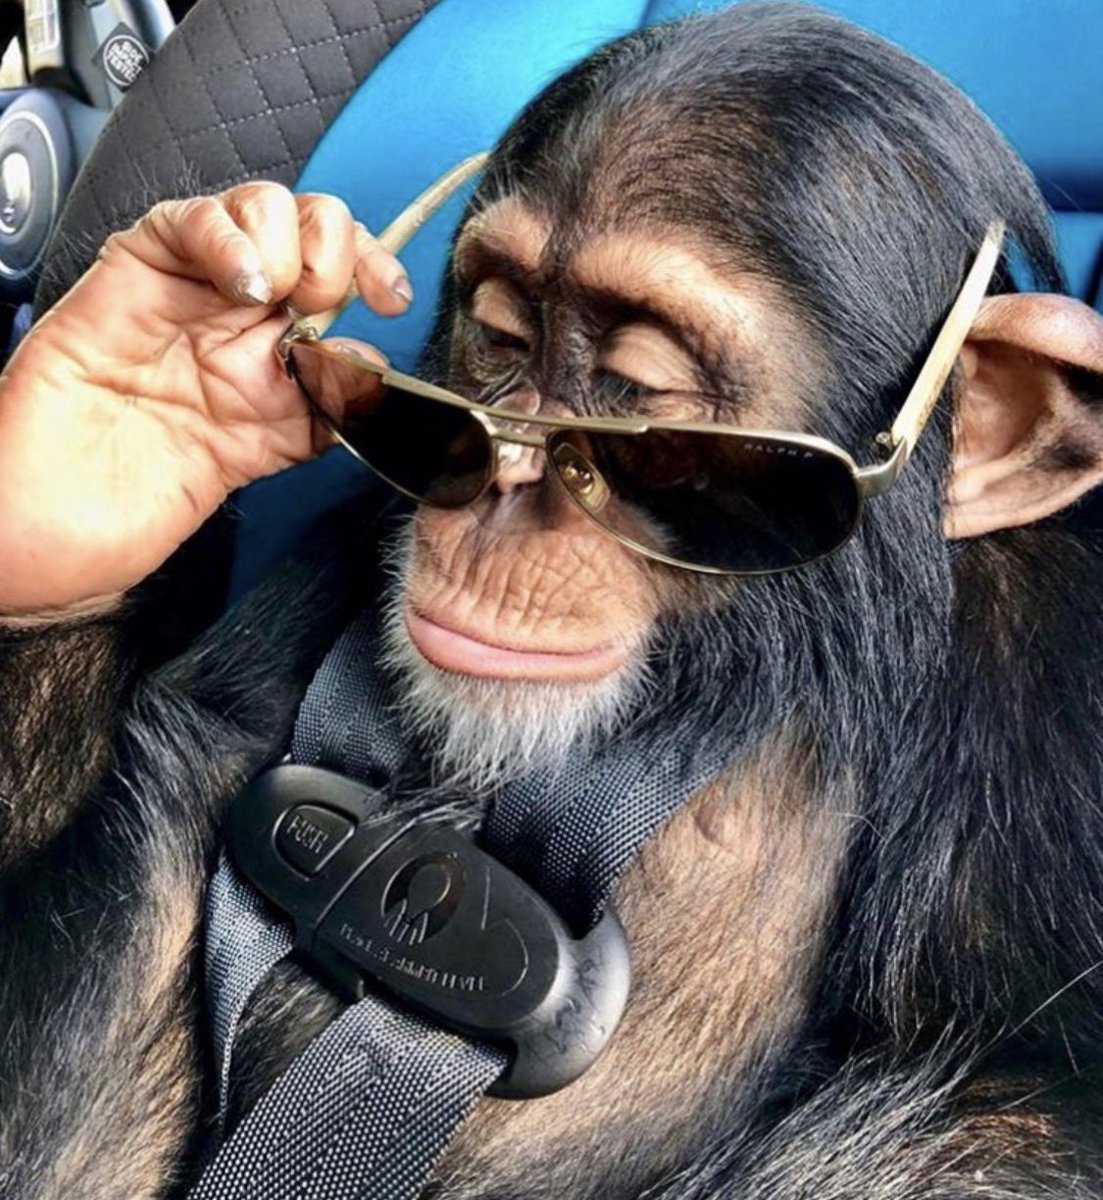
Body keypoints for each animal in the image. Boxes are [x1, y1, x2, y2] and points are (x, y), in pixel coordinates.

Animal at [3, 3, 1103, 1198]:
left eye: (645, 405)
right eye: (504, 335)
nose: (501, 496)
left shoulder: (1051, 690)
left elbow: (1028, 1114)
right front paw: (142, 380)